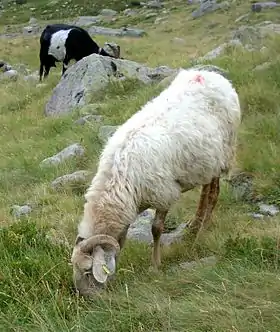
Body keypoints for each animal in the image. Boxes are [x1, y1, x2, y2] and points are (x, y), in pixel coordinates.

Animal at [71, 67, 242, 296]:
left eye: (88, 270)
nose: (85, 297)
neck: (119, 180)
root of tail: (210, 74)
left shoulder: (163, 193)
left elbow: (156, 229)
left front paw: (155, 265)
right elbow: (121, 240)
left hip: (223, 153)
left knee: (213, 192)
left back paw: (202, 230)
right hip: (206, 161)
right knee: (206, 190)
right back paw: (195, 223)